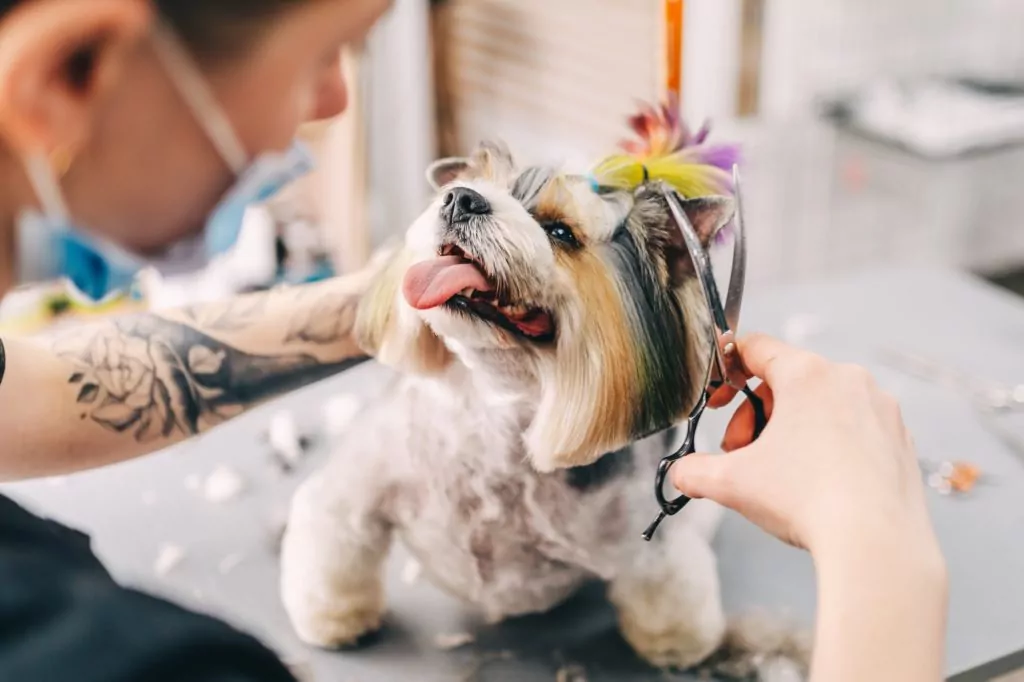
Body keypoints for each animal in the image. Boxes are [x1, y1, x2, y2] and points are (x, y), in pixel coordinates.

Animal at [280, 142, 806, 675]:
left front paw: (679, 645)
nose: (461, 199)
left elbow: (667, 586)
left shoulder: (646, 543)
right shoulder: (354, 492)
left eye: (560, 232)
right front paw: (335, 620)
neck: (497, 411)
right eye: (474, 186)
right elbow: (335, 543)